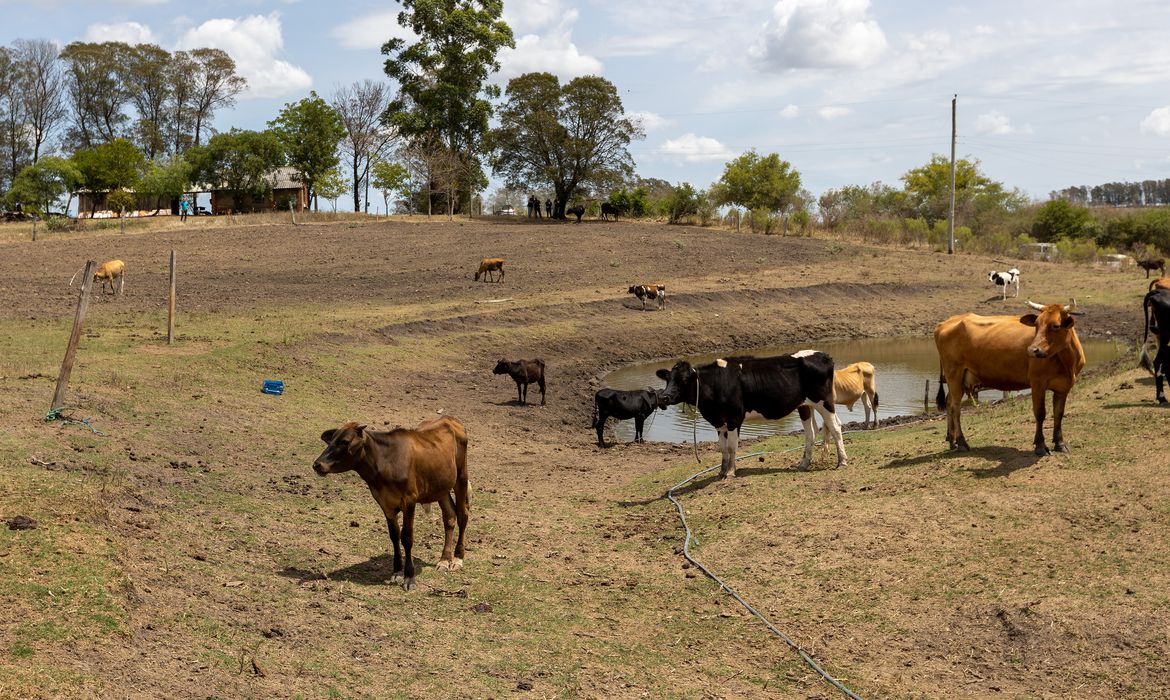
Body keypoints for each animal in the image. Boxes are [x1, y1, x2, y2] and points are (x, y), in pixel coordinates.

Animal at [315, 416, 475, 592]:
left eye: (344, 441)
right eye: (331, 440)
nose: (317, 464)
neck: (385, 462)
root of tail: (449, 419)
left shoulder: (409, 500)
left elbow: (407, 537)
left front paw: (409, 577)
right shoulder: (384, 502)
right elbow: (394, 535)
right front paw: (397, 572)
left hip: (461, 476)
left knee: (462, 515)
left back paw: (458, 558)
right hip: (440, 485)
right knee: (449, 516)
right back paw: (444, 560)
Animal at [655, 353, 847, 479]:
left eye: (684, 380)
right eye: (668, 379)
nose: (664, 397)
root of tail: (822, 355)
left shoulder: (734, 418)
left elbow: (732, 447)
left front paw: (731, 472)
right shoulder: (719, 421)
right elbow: (722, 447)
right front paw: (721, 471)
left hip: (824, 401)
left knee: (836, 427)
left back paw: (842, 462)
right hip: (805, 405)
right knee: (811, 432)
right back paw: (803, 464)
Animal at [931, 299, 1085, 456]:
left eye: (1056, 326)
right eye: (1036, 324)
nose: (1032, 350)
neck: (1066, 362)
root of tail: (945, 322)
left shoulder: (1064, 386)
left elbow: (1059, 414)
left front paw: (1060, 444)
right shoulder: (1037, 383)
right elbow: (1040, 413)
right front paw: (1040, 446)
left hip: (959, 378)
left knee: (949, 402)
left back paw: (952, 441)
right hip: (954, 373)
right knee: (955, 406)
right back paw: (961, 442)